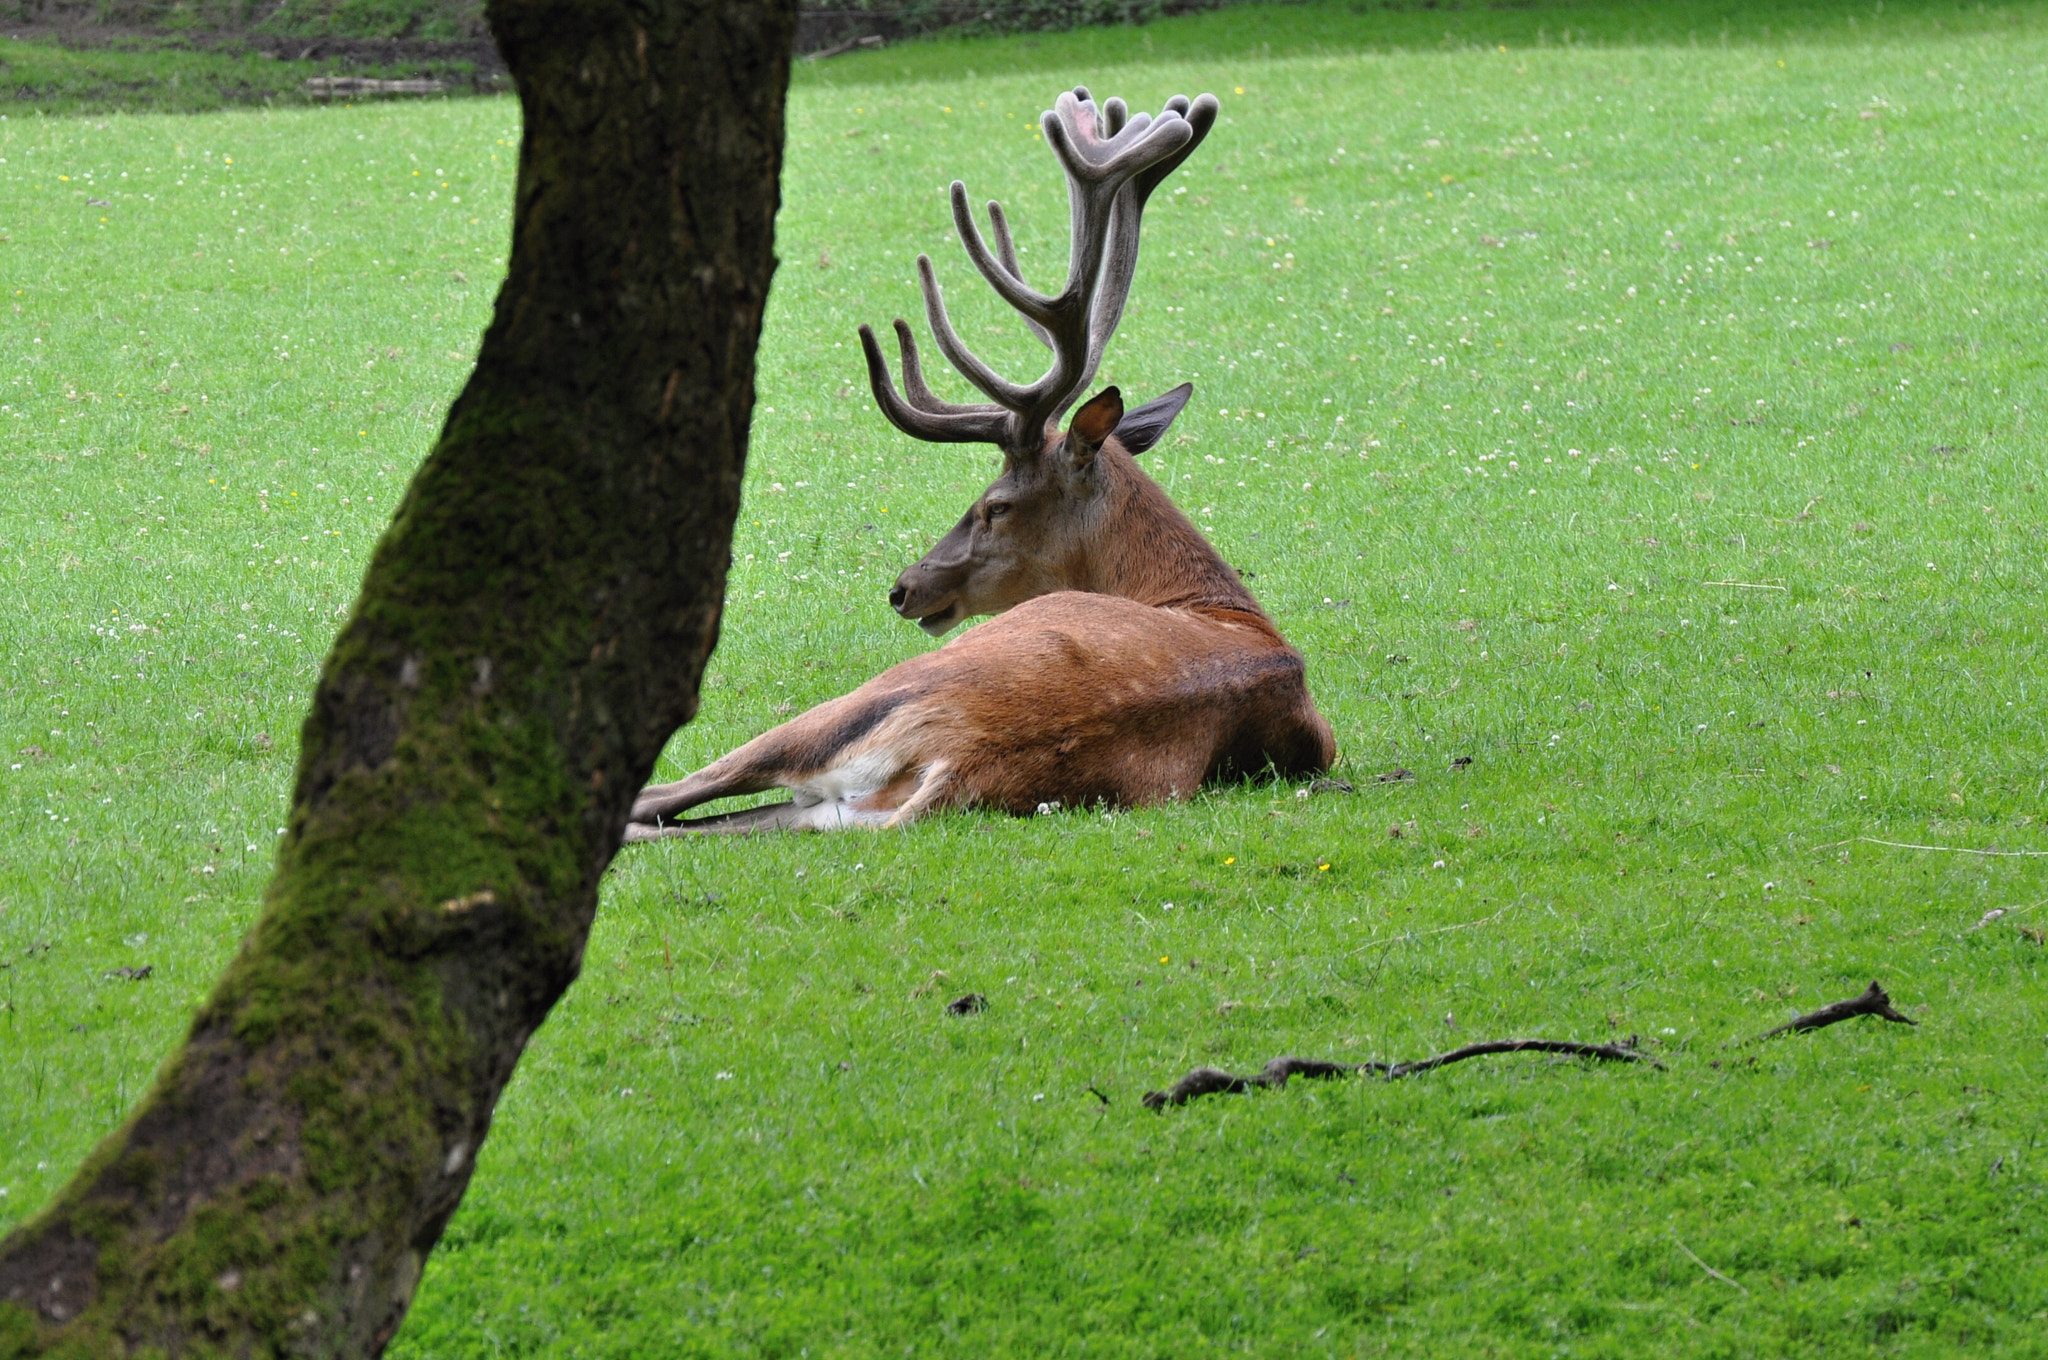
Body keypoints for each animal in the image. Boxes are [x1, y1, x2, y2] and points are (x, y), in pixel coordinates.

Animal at [624, 87, 1334, 836]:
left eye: (995, 506)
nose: (904, 587)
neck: (1215, 604)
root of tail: (955, 759)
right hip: (825, 811)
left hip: (865, 700)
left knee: (661, 797)